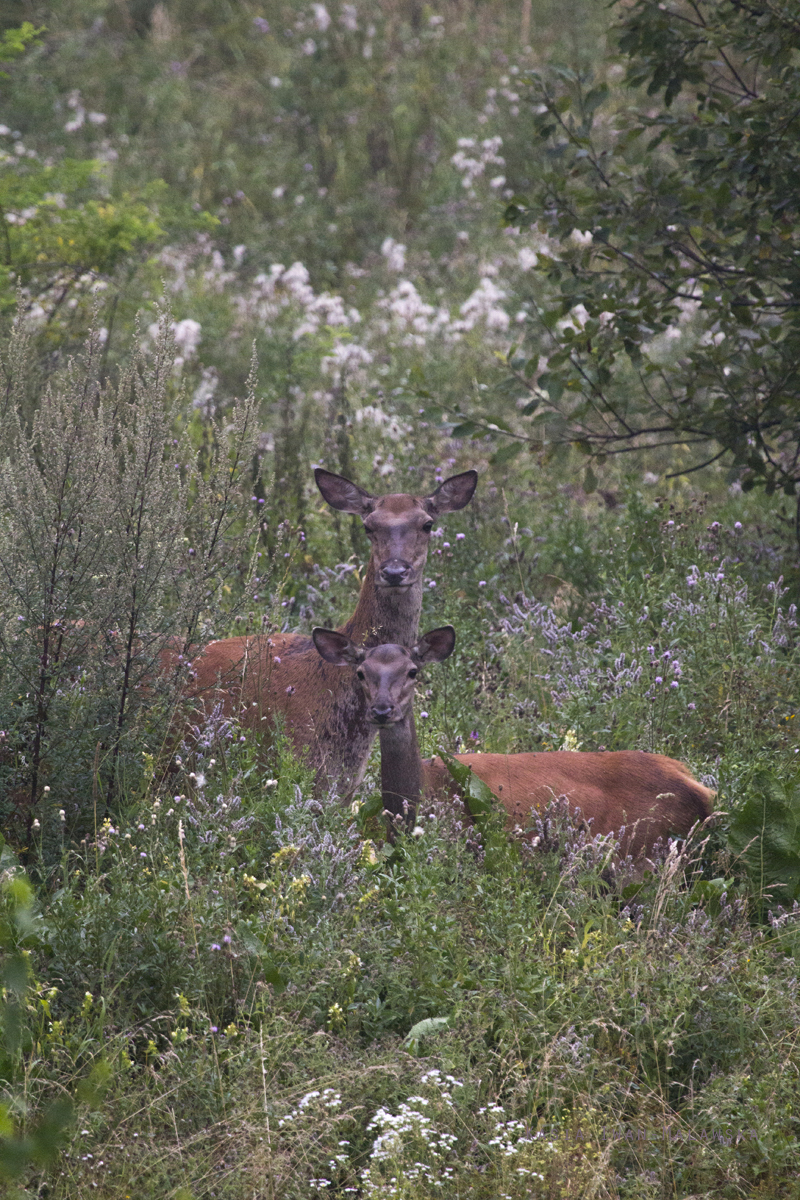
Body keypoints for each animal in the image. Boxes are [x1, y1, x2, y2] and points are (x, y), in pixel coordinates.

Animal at [309, 628, 710, 854]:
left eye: (412, 671)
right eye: (361, 672)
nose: (382, 709)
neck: (419, 797)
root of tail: (700, 790)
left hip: (639, 848)